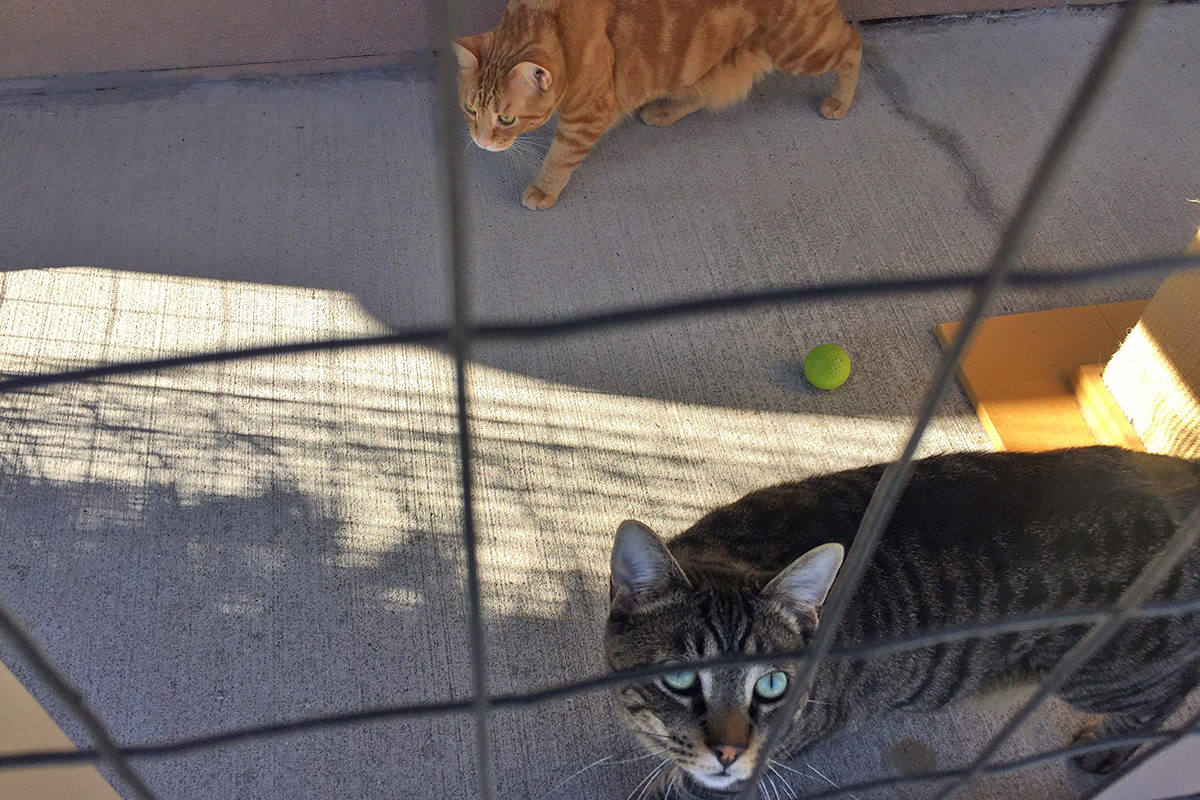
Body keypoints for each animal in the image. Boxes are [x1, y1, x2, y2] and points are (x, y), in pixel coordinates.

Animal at [456, 0, 864, 209]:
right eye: (471, 110)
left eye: (507, 118)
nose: (481, 141)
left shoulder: (585, 117)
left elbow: (559, 158)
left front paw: (544, 189)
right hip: (701, 62)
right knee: (699, 93)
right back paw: (664, 110)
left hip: (800, 46)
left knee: (853, 45)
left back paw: (840, 101)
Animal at [604, 448, 1200, 796]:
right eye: (681, 678)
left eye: (772, 684)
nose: (728, 752)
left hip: (1111, 675)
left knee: (1165, 698)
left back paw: (1105, 749)